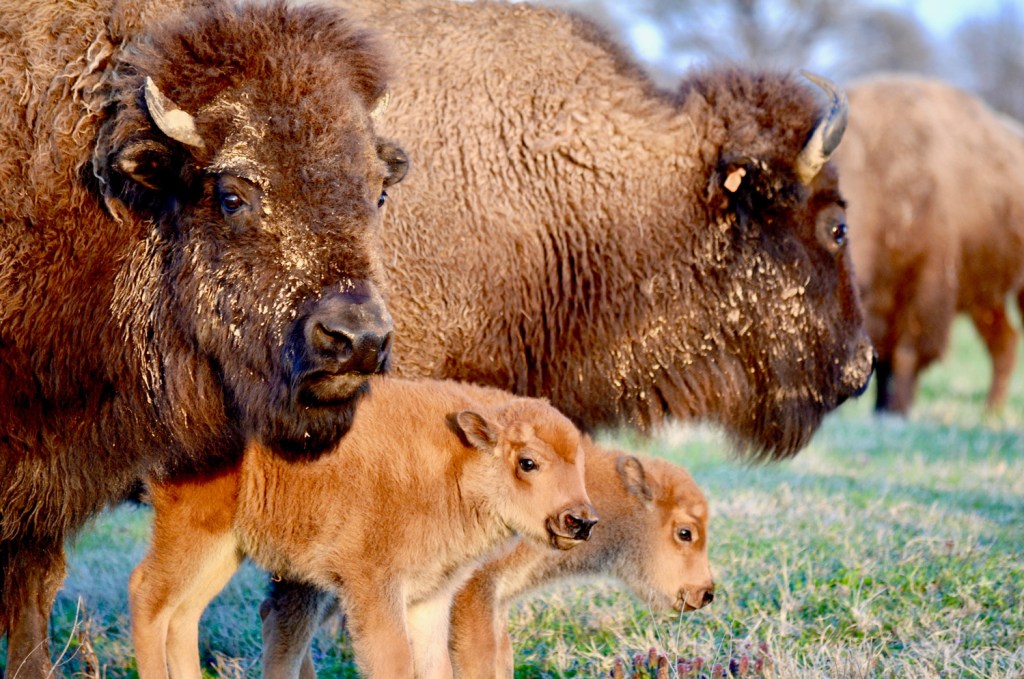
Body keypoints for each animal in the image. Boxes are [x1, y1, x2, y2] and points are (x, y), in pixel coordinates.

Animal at [129, 376, 598, 679]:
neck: (453, 464)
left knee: (183, 614)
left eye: (579, 462)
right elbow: (394, 663)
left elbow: (435, 666)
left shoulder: (429, 596)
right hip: (194, 533)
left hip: (226, 549)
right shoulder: (373, 589)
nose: (581, 520)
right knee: (148, 595)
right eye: (528, 462)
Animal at [831, 74, 1024, 413]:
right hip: (985, 300)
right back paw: (991, 411)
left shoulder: (925, 292)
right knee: (1005, 342)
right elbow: (884, 361)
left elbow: (906, 356)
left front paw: (896, 410)